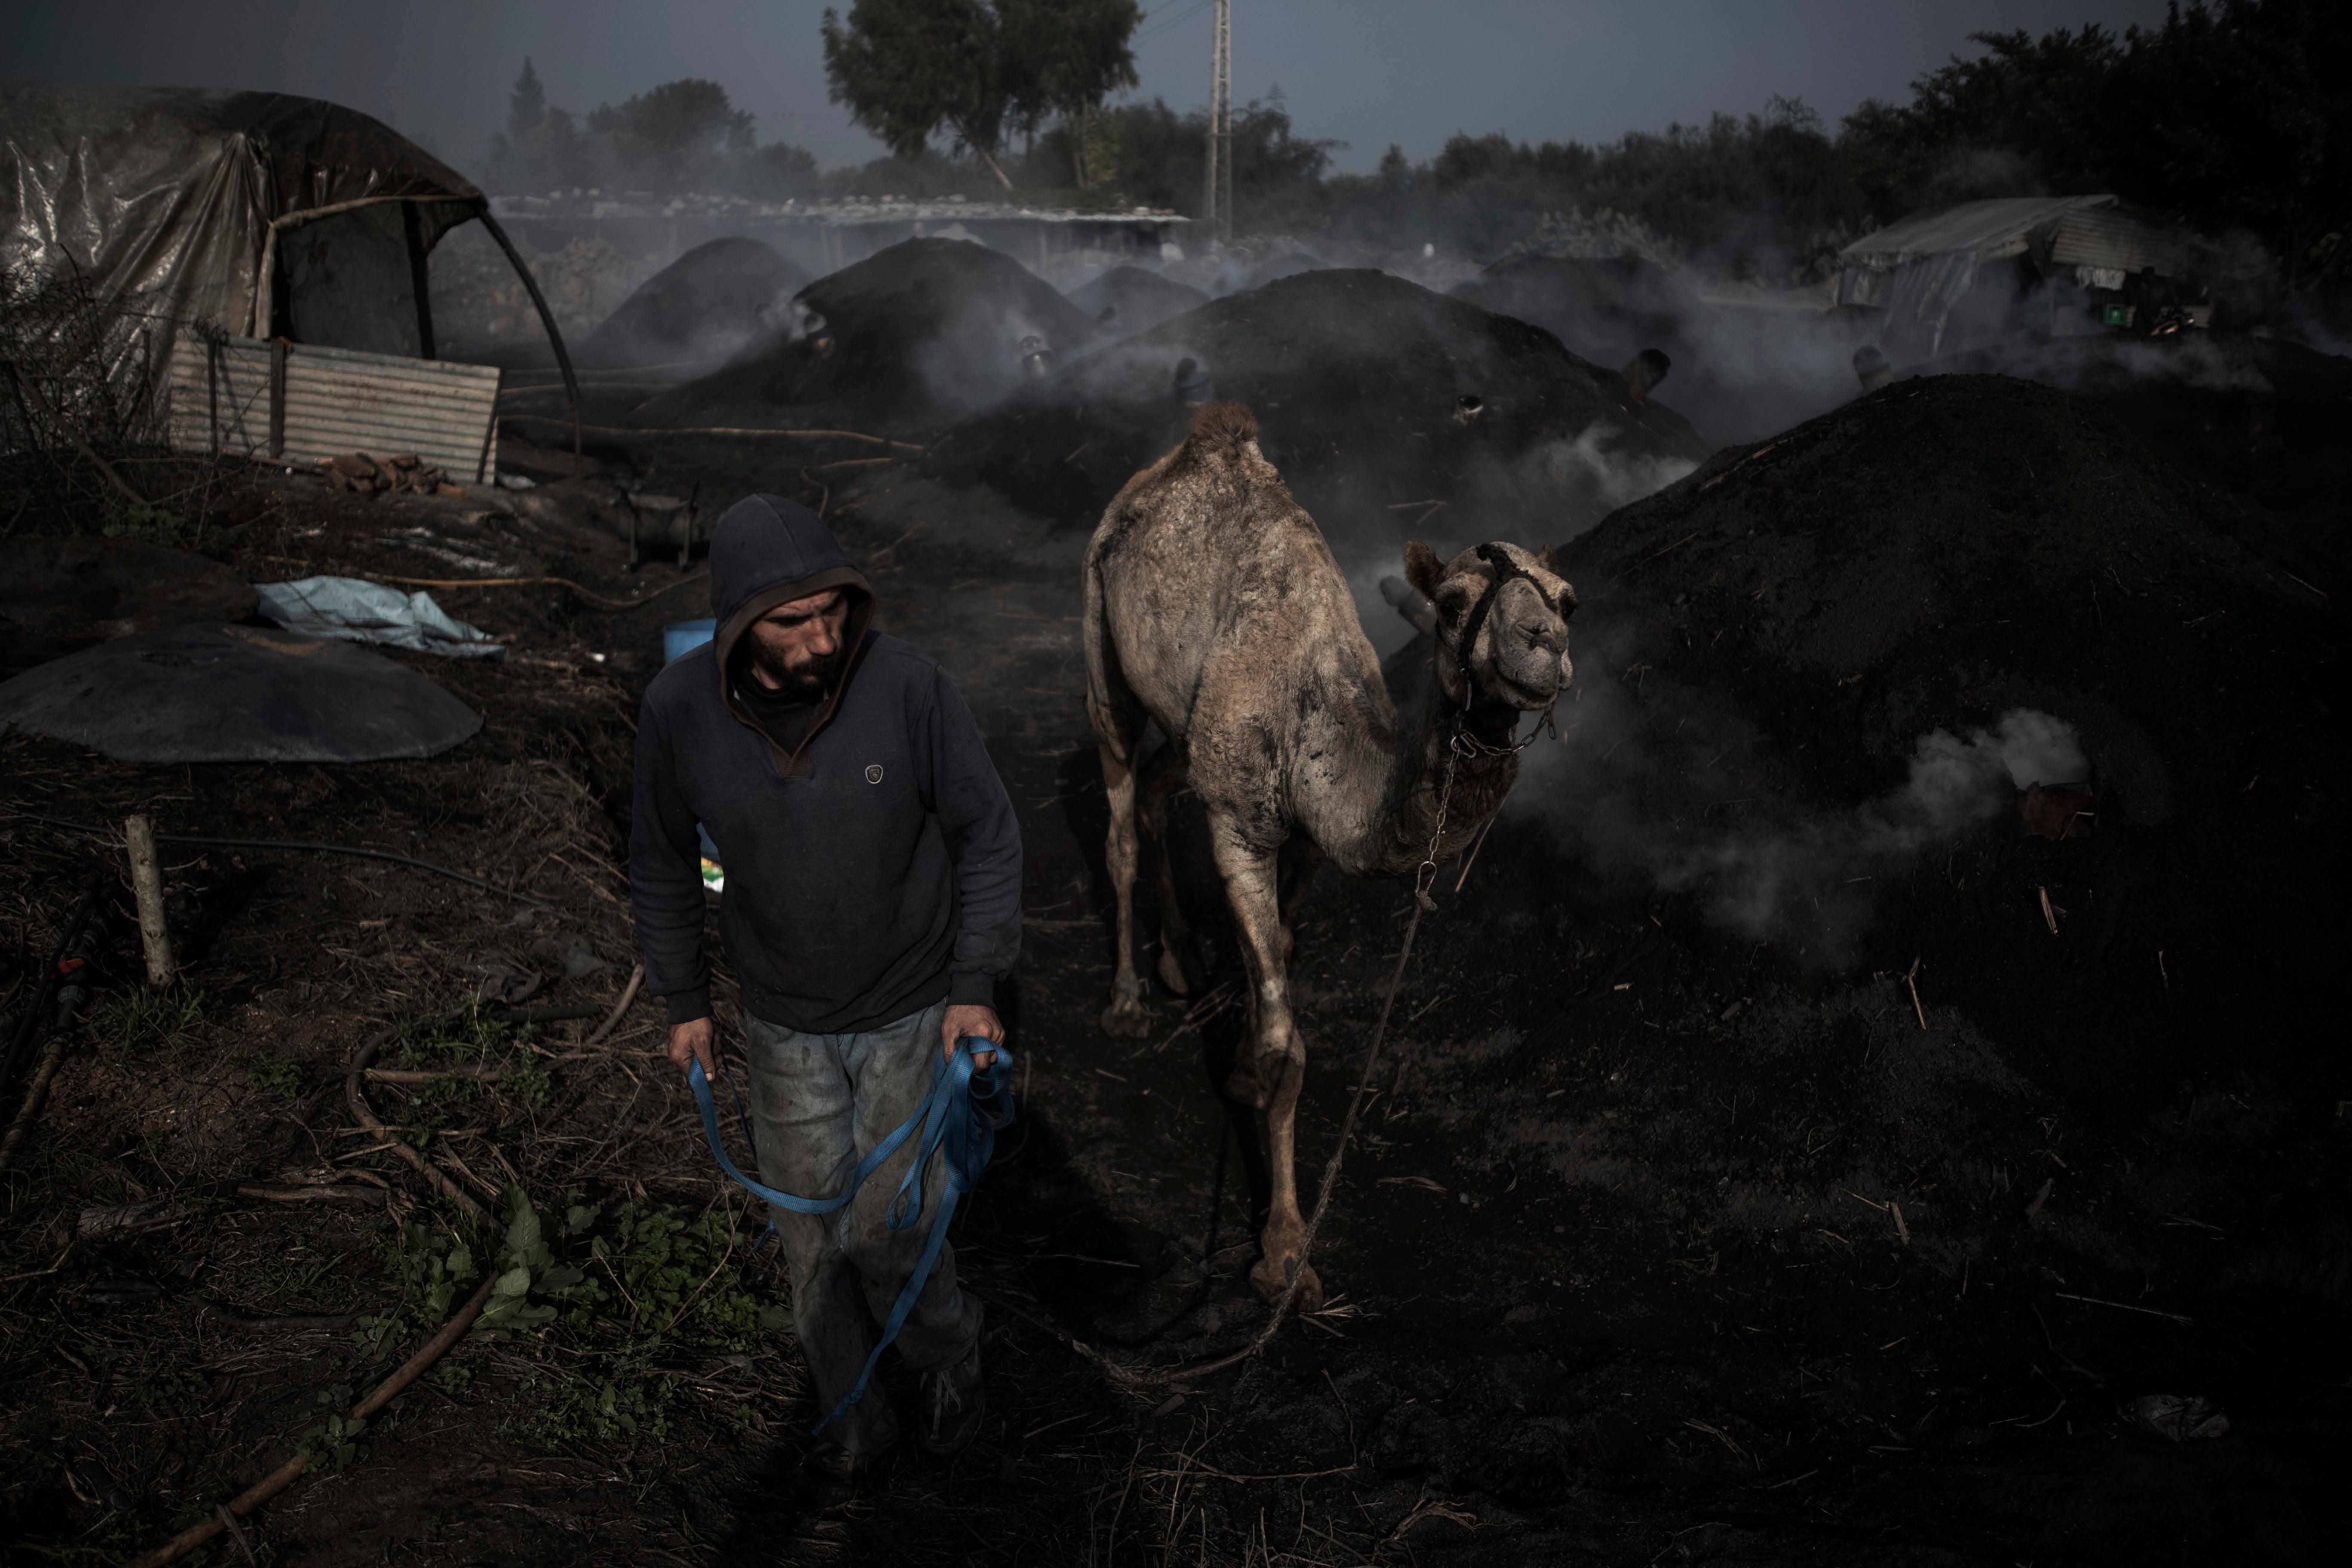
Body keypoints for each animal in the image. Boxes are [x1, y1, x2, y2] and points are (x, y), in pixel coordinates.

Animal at [1087, 402, 1580, 1316]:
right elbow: (1294, 1045)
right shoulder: (1241, 827)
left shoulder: (1310, 838)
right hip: (1100, 631)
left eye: (1569, 599)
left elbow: (1280, 947)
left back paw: (1180, 960)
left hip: (1187, 725)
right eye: (1451, 603)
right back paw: (1129, 1001)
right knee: (1121, 817)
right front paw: (1283, 1250)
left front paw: (1242, 1065)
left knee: (1157, 788)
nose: (1543, 646)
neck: (1320, 725)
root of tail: (1178, 457)